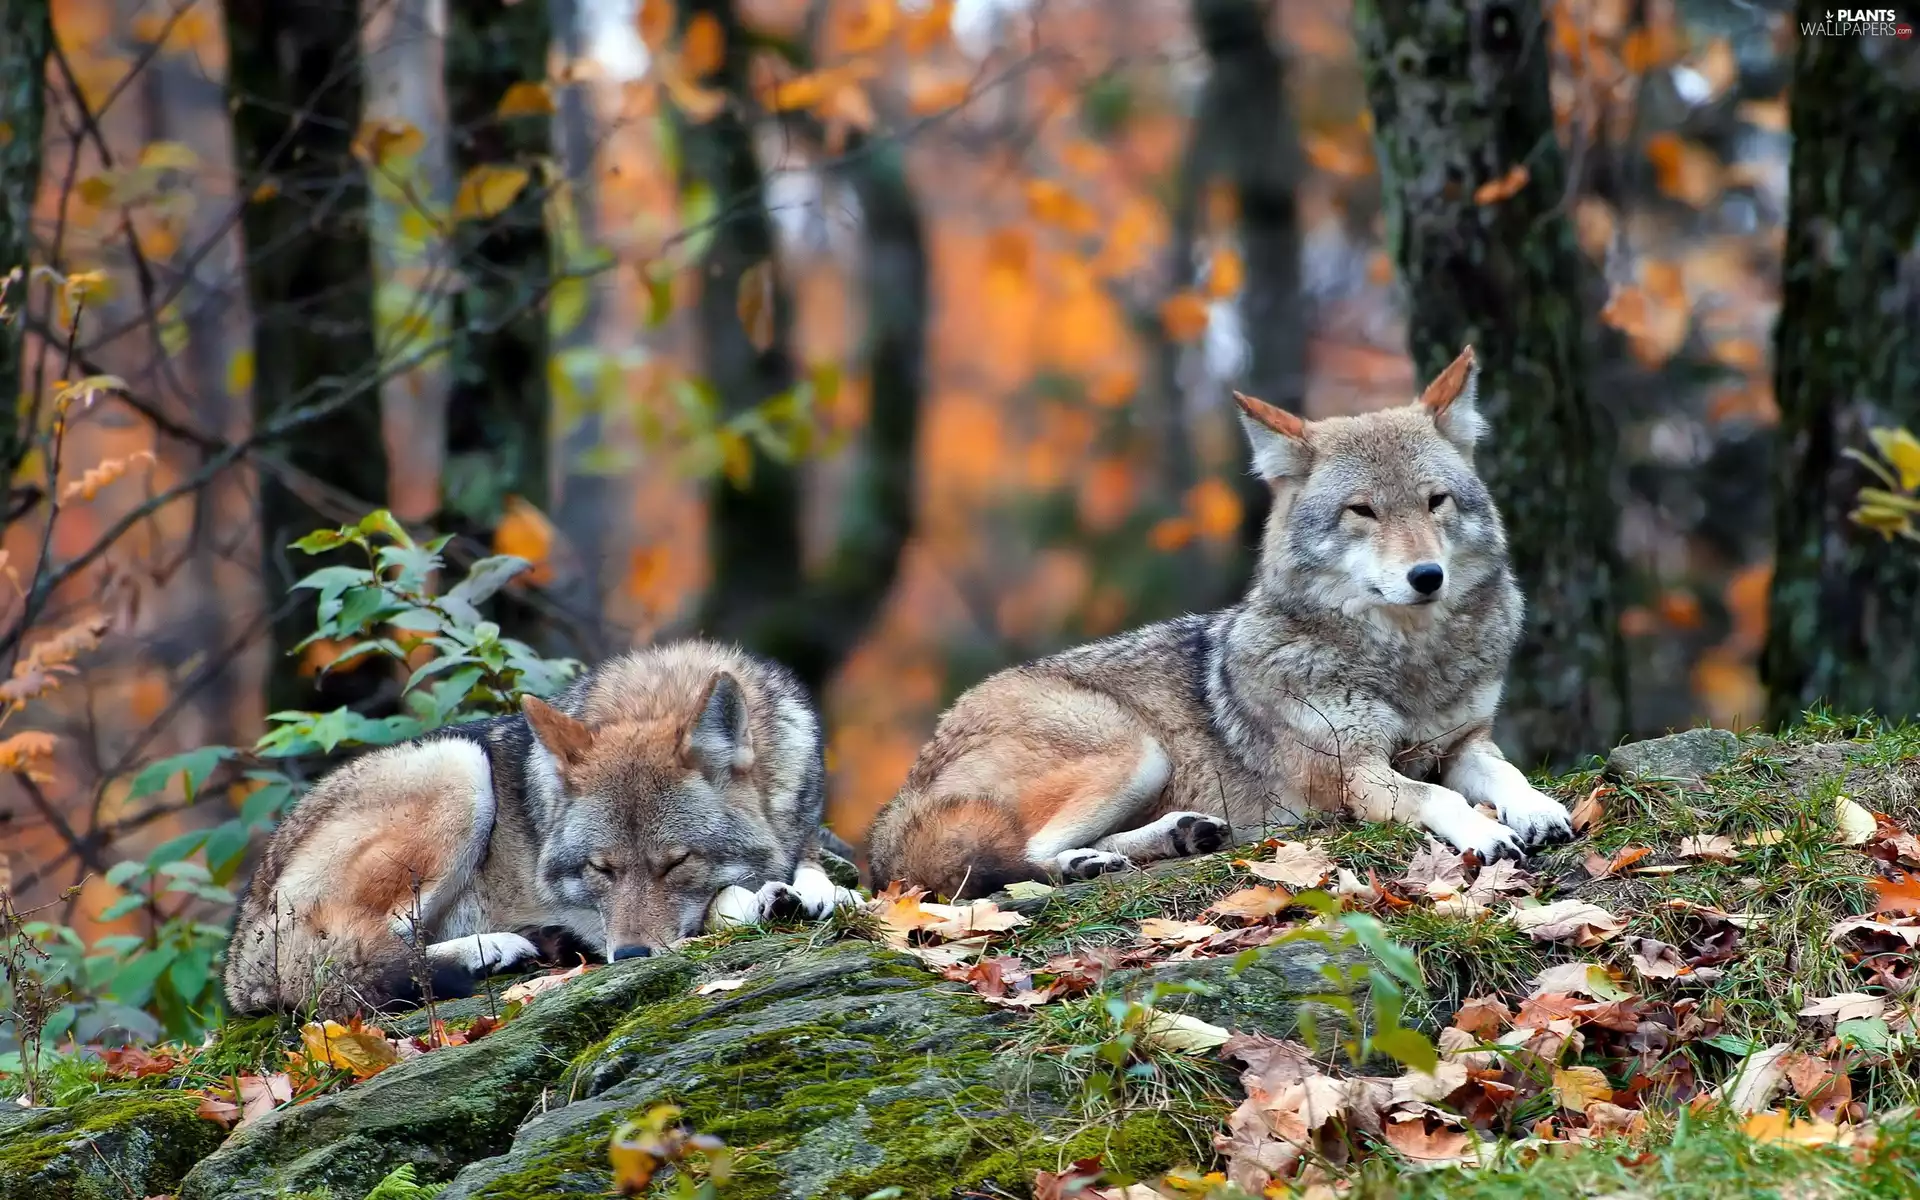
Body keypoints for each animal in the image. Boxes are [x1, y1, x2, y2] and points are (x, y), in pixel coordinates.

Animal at [224, 641, 858, 1015]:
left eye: (676, 862)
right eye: (600, 868)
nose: (630, 956)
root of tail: (238, 956)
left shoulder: (801, 832)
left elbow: (815, 870)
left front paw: (818, 891)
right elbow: (719, 904)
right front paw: (761, 900)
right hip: (458, 771)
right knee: (345, 962)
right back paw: (494, 948)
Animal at [866, 346, 1575, 899]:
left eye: (1435, 502)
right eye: (1363, 511)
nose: (1427, 576)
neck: (1407, 665)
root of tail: (897, 805)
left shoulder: (1463, 743)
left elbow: (1507, 774)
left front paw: (1539, 810)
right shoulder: (1355, 773)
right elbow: (1441, 799)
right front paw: (1486, 831)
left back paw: (1180, 834)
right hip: (1133, 749)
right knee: (1021, 858)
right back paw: (1086, 862)